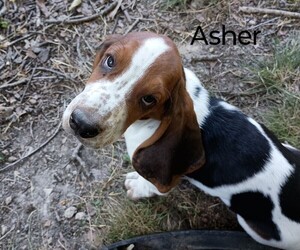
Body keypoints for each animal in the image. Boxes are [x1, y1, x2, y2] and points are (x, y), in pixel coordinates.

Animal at [62, 32, 300, 249]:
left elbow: (152, 184)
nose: (81, 123)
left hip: (258, 229)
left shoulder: (164, 178)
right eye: (110, 60)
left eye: (149, 99)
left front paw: (137, 186)